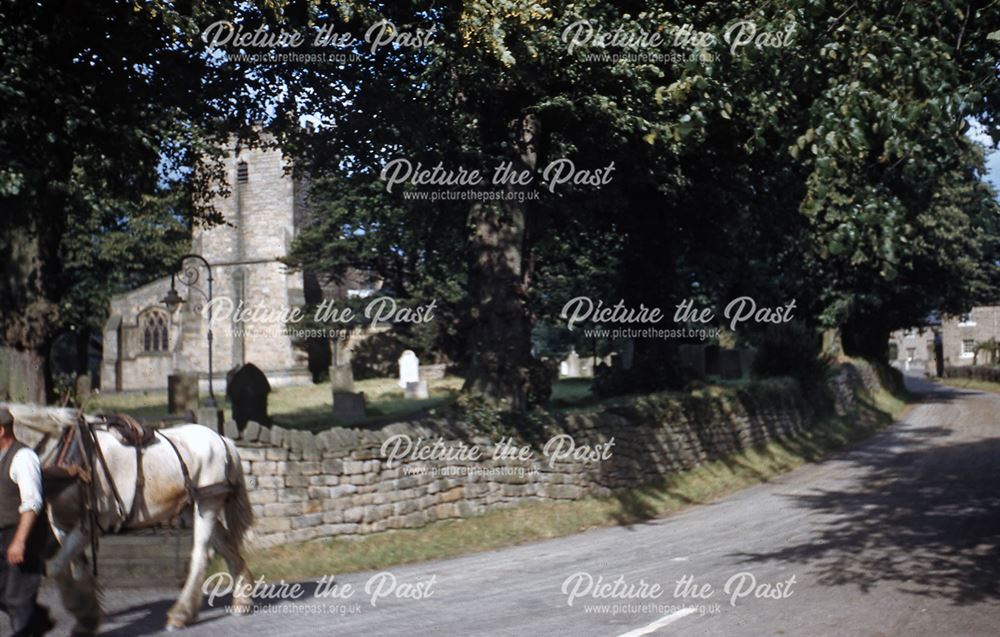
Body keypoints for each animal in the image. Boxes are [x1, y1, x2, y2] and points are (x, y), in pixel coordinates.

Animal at [4, 404, 254, 632]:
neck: (68, 455)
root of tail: (222, 439)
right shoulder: (62, 525)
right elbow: (73, 568)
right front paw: (88, 615)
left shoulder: (91, 525)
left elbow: (55, 566)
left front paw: (85, 615)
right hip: (194, 506)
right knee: (225, 545)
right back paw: (242, 598)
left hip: (208, 504)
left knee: (201, 554)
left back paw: (181, 614)